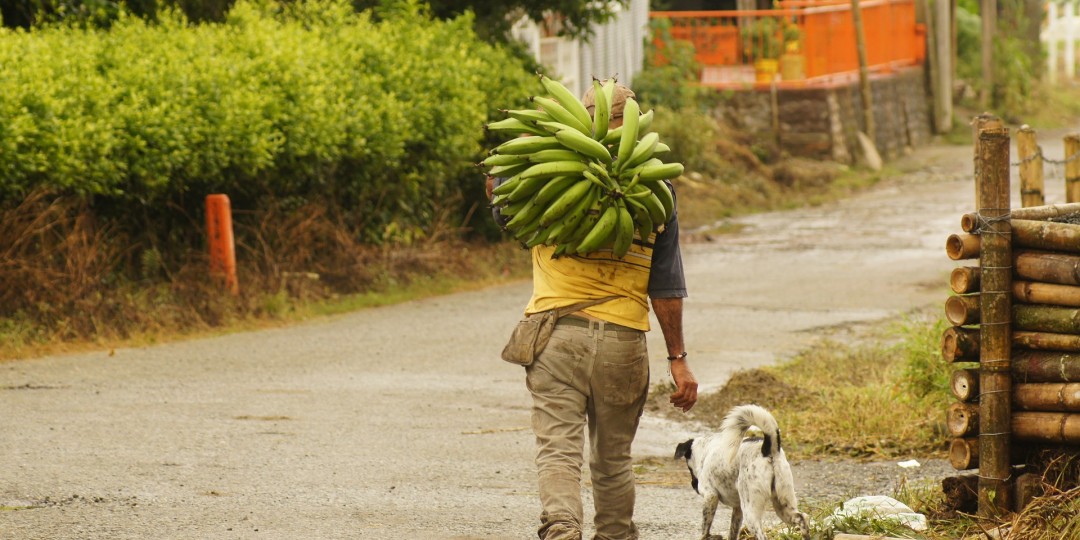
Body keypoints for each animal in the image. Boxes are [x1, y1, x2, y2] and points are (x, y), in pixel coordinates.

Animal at [673, 406, 812, 540]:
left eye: (689, 468)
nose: (693, 485)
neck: (705, 450)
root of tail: (768, 449)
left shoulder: (710, 496)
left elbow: (705, 528)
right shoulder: (737, 508)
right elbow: (733, 532)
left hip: (751, 512)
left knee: (762, 535)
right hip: (783, 504)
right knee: (802, 518)